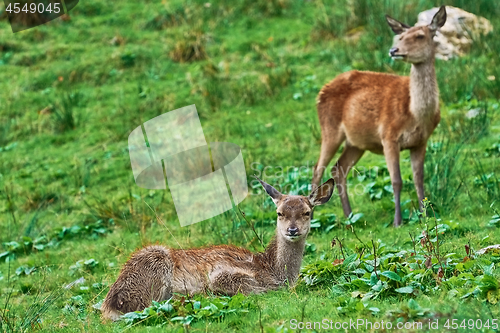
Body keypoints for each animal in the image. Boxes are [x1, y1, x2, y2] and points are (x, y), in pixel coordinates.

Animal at [99, 176, 334, 320]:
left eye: (307, 212)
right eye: (279, 213)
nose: (292, 230)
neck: (272, 269)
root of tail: (110, 306)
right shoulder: (222, 273)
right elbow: (255, 289)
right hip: (154, 265)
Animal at [310, 6, 448, 226]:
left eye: (420, 35)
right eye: (400, 36)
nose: (394, 51)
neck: (416, 114)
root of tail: (321, 91)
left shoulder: (421, 141)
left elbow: (419, 179)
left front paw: (425, 214)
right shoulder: (388, 136)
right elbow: (397, 180)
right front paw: (397, 221)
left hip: (356, 142)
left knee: (339, 168)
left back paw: (350, 216)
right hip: (329, 129)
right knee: (318, 168)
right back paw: (313, 220)